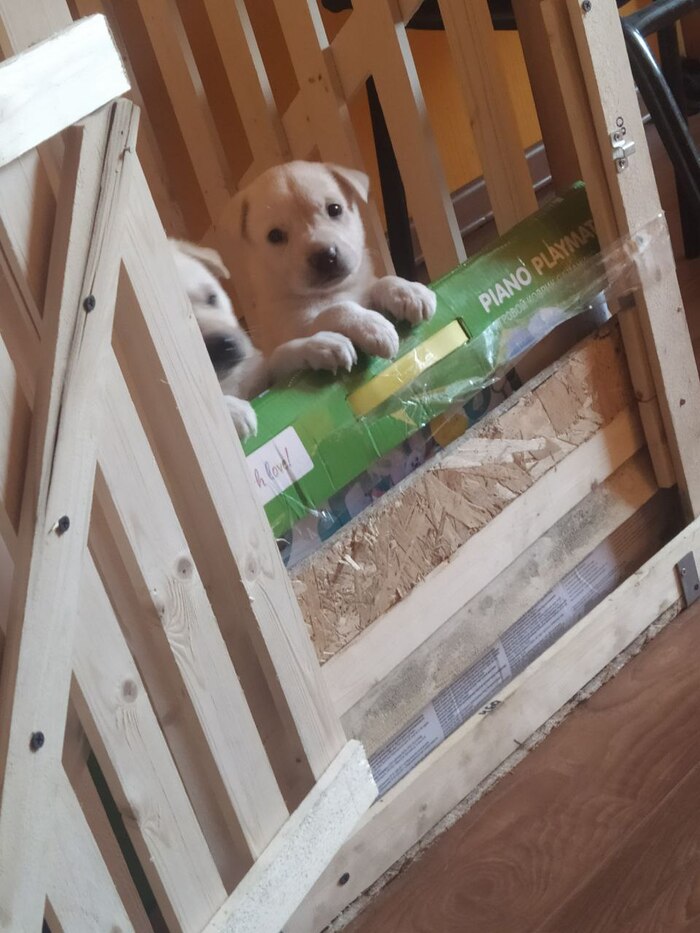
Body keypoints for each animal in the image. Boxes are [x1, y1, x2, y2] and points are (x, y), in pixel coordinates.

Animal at [230, 160, 437, 379]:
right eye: (275, 236)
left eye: (334, 209)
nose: (325, 257)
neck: (332, 291)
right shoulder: (298, 325)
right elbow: (336, 309)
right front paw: (370, 325)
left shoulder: (363, 290)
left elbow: (381, 282)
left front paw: (408, 291)